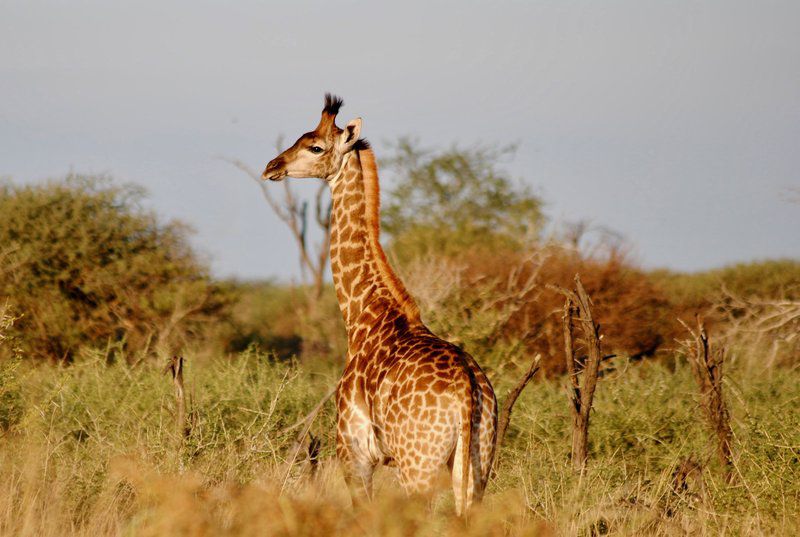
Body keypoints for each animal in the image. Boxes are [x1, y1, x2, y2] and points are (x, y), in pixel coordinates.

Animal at [262, 94, 496, 512]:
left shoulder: (354, 454)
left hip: (417, 464)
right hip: (476, 462)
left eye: (315, 146)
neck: (363, 316)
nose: (273, 166)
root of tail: (468, 392)